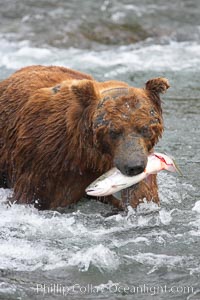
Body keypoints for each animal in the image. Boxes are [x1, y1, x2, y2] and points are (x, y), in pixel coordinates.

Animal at [0, 65, 170, 211]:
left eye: (145, 128)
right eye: (114, 131)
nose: (134, 166)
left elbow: (141, 194)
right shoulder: (45, 160)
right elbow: (31, 196)